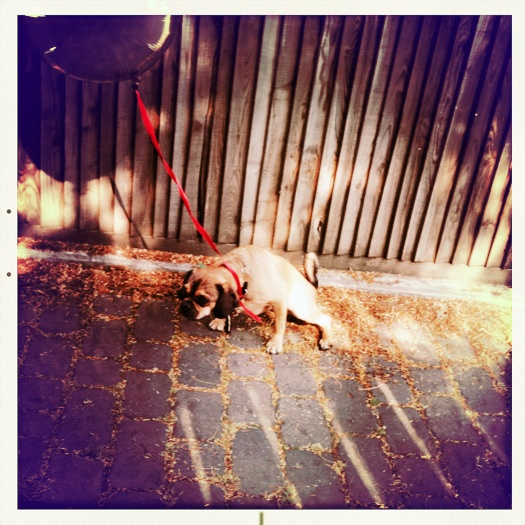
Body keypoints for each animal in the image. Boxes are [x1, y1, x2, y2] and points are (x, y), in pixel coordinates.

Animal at [178, 245, 333, 354]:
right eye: (183, 292)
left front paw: (276, 343)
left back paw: (326, 339)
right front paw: (220, 320)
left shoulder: (279, 300)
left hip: (301, 310)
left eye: (202, 300)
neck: (243, 275)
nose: (185, 306)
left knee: (325, 319)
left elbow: (279, 326)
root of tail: (311, 285)